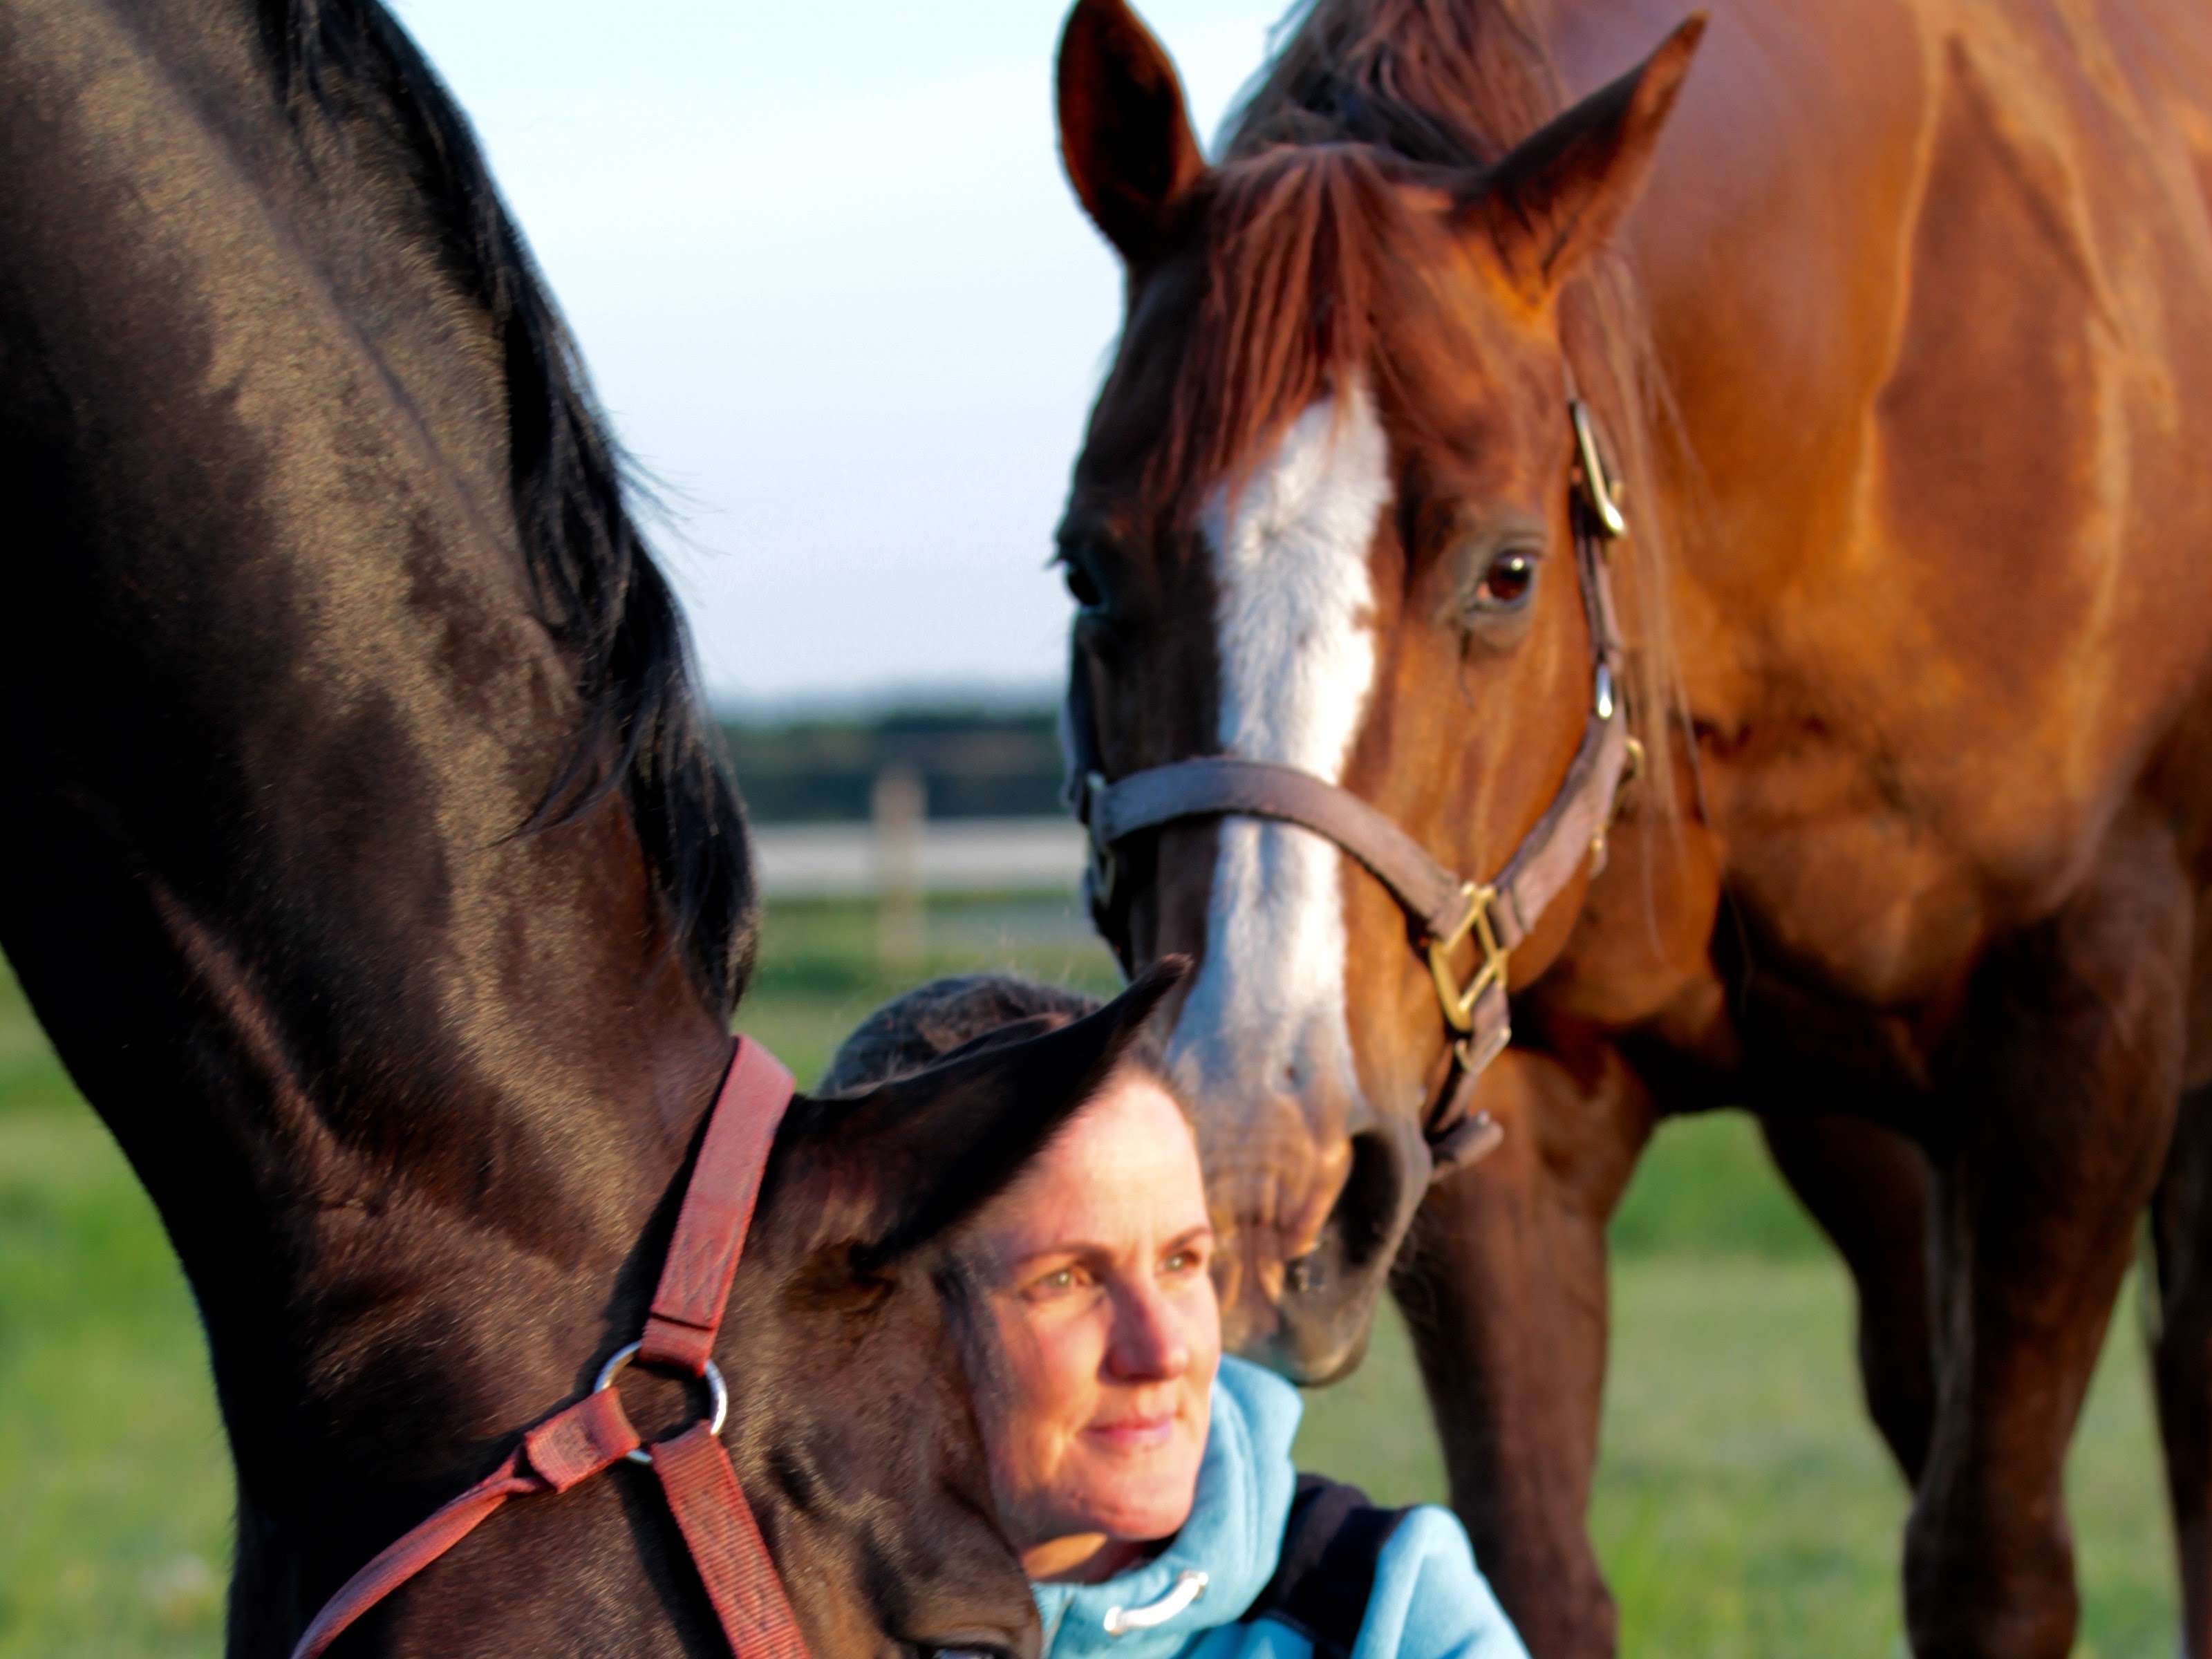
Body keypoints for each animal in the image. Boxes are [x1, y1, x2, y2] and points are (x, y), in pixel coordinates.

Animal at [1047, 0, 2212, 1652]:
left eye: (1508, 570)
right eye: (1088, 570)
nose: (1253, 1179)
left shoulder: (2083, 1030)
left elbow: (1994, 1565)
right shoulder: (1489, 1099)